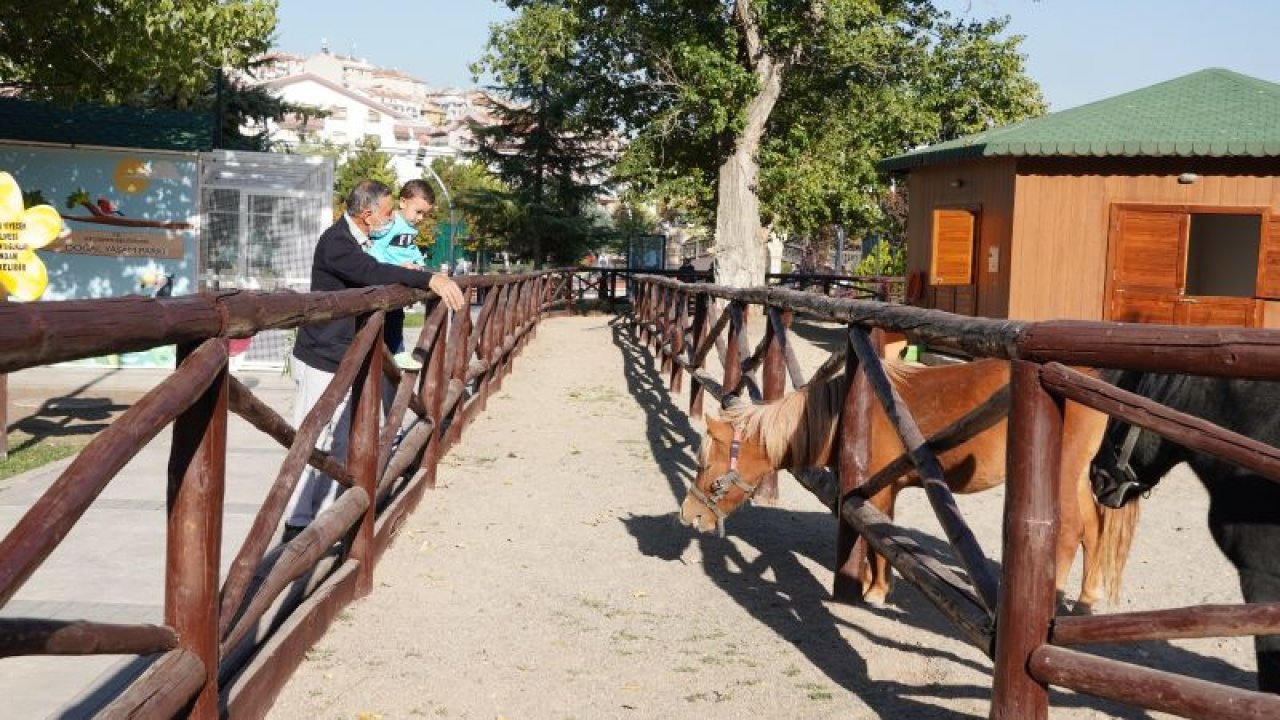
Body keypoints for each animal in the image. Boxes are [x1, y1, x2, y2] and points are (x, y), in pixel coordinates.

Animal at [680, 356, 1141, 607]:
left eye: (708, 468)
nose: (688, 516)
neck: (847, 413)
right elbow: (878, 538)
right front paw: (872, 585)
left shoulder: (879, 490)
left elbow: (876, 542)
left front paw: (876, 591)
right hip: (1077, 480)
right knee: (1094, 531)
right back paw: (1087, 597)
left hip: (1063, 477)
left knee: (1069, 534)